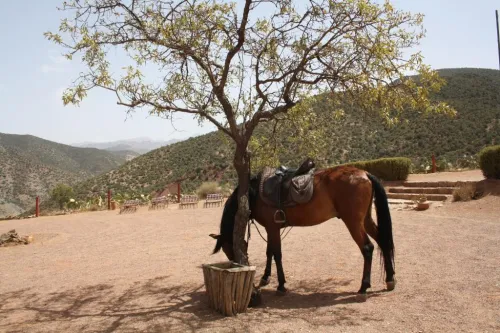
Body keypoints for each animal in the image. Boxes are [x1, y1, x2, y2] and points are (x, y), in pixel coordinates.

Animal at [209, 165, 396, 296]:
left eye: (227, 247)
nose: (234, 263)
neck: (254, 193)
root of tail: (365, 174)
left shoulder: (273, 228)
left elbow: (277, 254)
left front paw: (281, 285)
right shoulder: (271, 229)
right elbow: (270, 252)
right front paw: (265, 277)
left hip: (353, 222)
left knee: (367, 248)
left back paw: (364, 286)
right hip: (366, 220)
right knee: (383, 241)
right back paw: (390, 279)